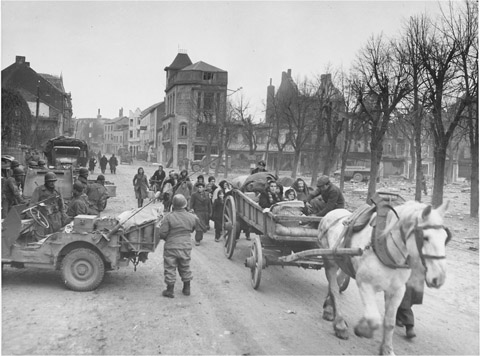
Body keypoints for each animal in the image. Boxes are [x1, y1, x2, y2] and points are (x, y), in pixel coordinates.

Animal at [318, 200, 450, 356]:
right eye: (425, 237)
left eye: (445, 238)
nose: (439, 278)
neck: (387, 250)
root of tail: (331, 213)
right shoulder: (365, 284)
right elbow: (374, 318)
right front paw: (363, 329)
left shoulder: (397, 290)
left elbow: (390, 322)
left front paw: (387, 349)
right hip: (330, 261)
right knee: (333, 288)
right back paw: (339, 325)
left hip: (344, 262)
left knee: (338, 282)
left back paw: (328, 309)